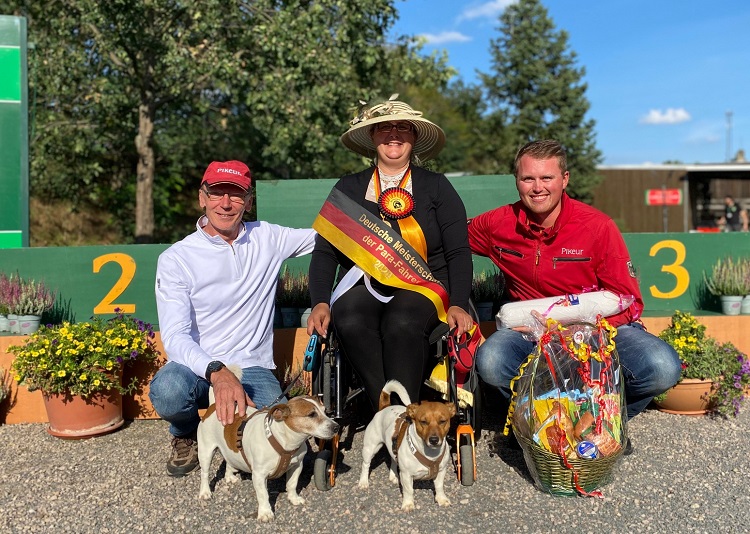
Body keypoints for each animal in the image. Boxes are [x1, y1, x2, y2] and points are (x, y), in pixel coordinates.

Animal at [200, 368, 340, 524]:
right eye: (311, 414)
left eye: (325, 410)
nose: (337, 427)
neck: (284, 442)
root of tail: (213, 406)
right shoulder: (259, 475)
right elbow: (263, 495)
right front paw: (266, 513)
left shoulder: (297, 466)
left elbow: (292, 484)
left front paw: (293, 499)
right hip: (205, 451)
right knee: (204, 473)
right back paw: (205, 492)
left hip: (231, 451)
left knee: (229, 460)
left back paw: (230, 476)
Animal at [360, 378, 458, 512]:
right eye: (423, 422)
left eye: (442, 421)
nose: (433, 440)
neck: (429, 453)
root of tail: (384, 408)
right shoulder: (406, 475)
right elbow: (408, 490)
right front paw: (408, 504)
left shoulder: (441, 471)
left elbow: (439, 487)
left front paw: (441, 499)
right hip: (370, 448)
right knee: (366, 465)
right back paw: (363, 482)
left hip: (393, 447)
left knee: (393, 459)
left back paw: (393, 476)